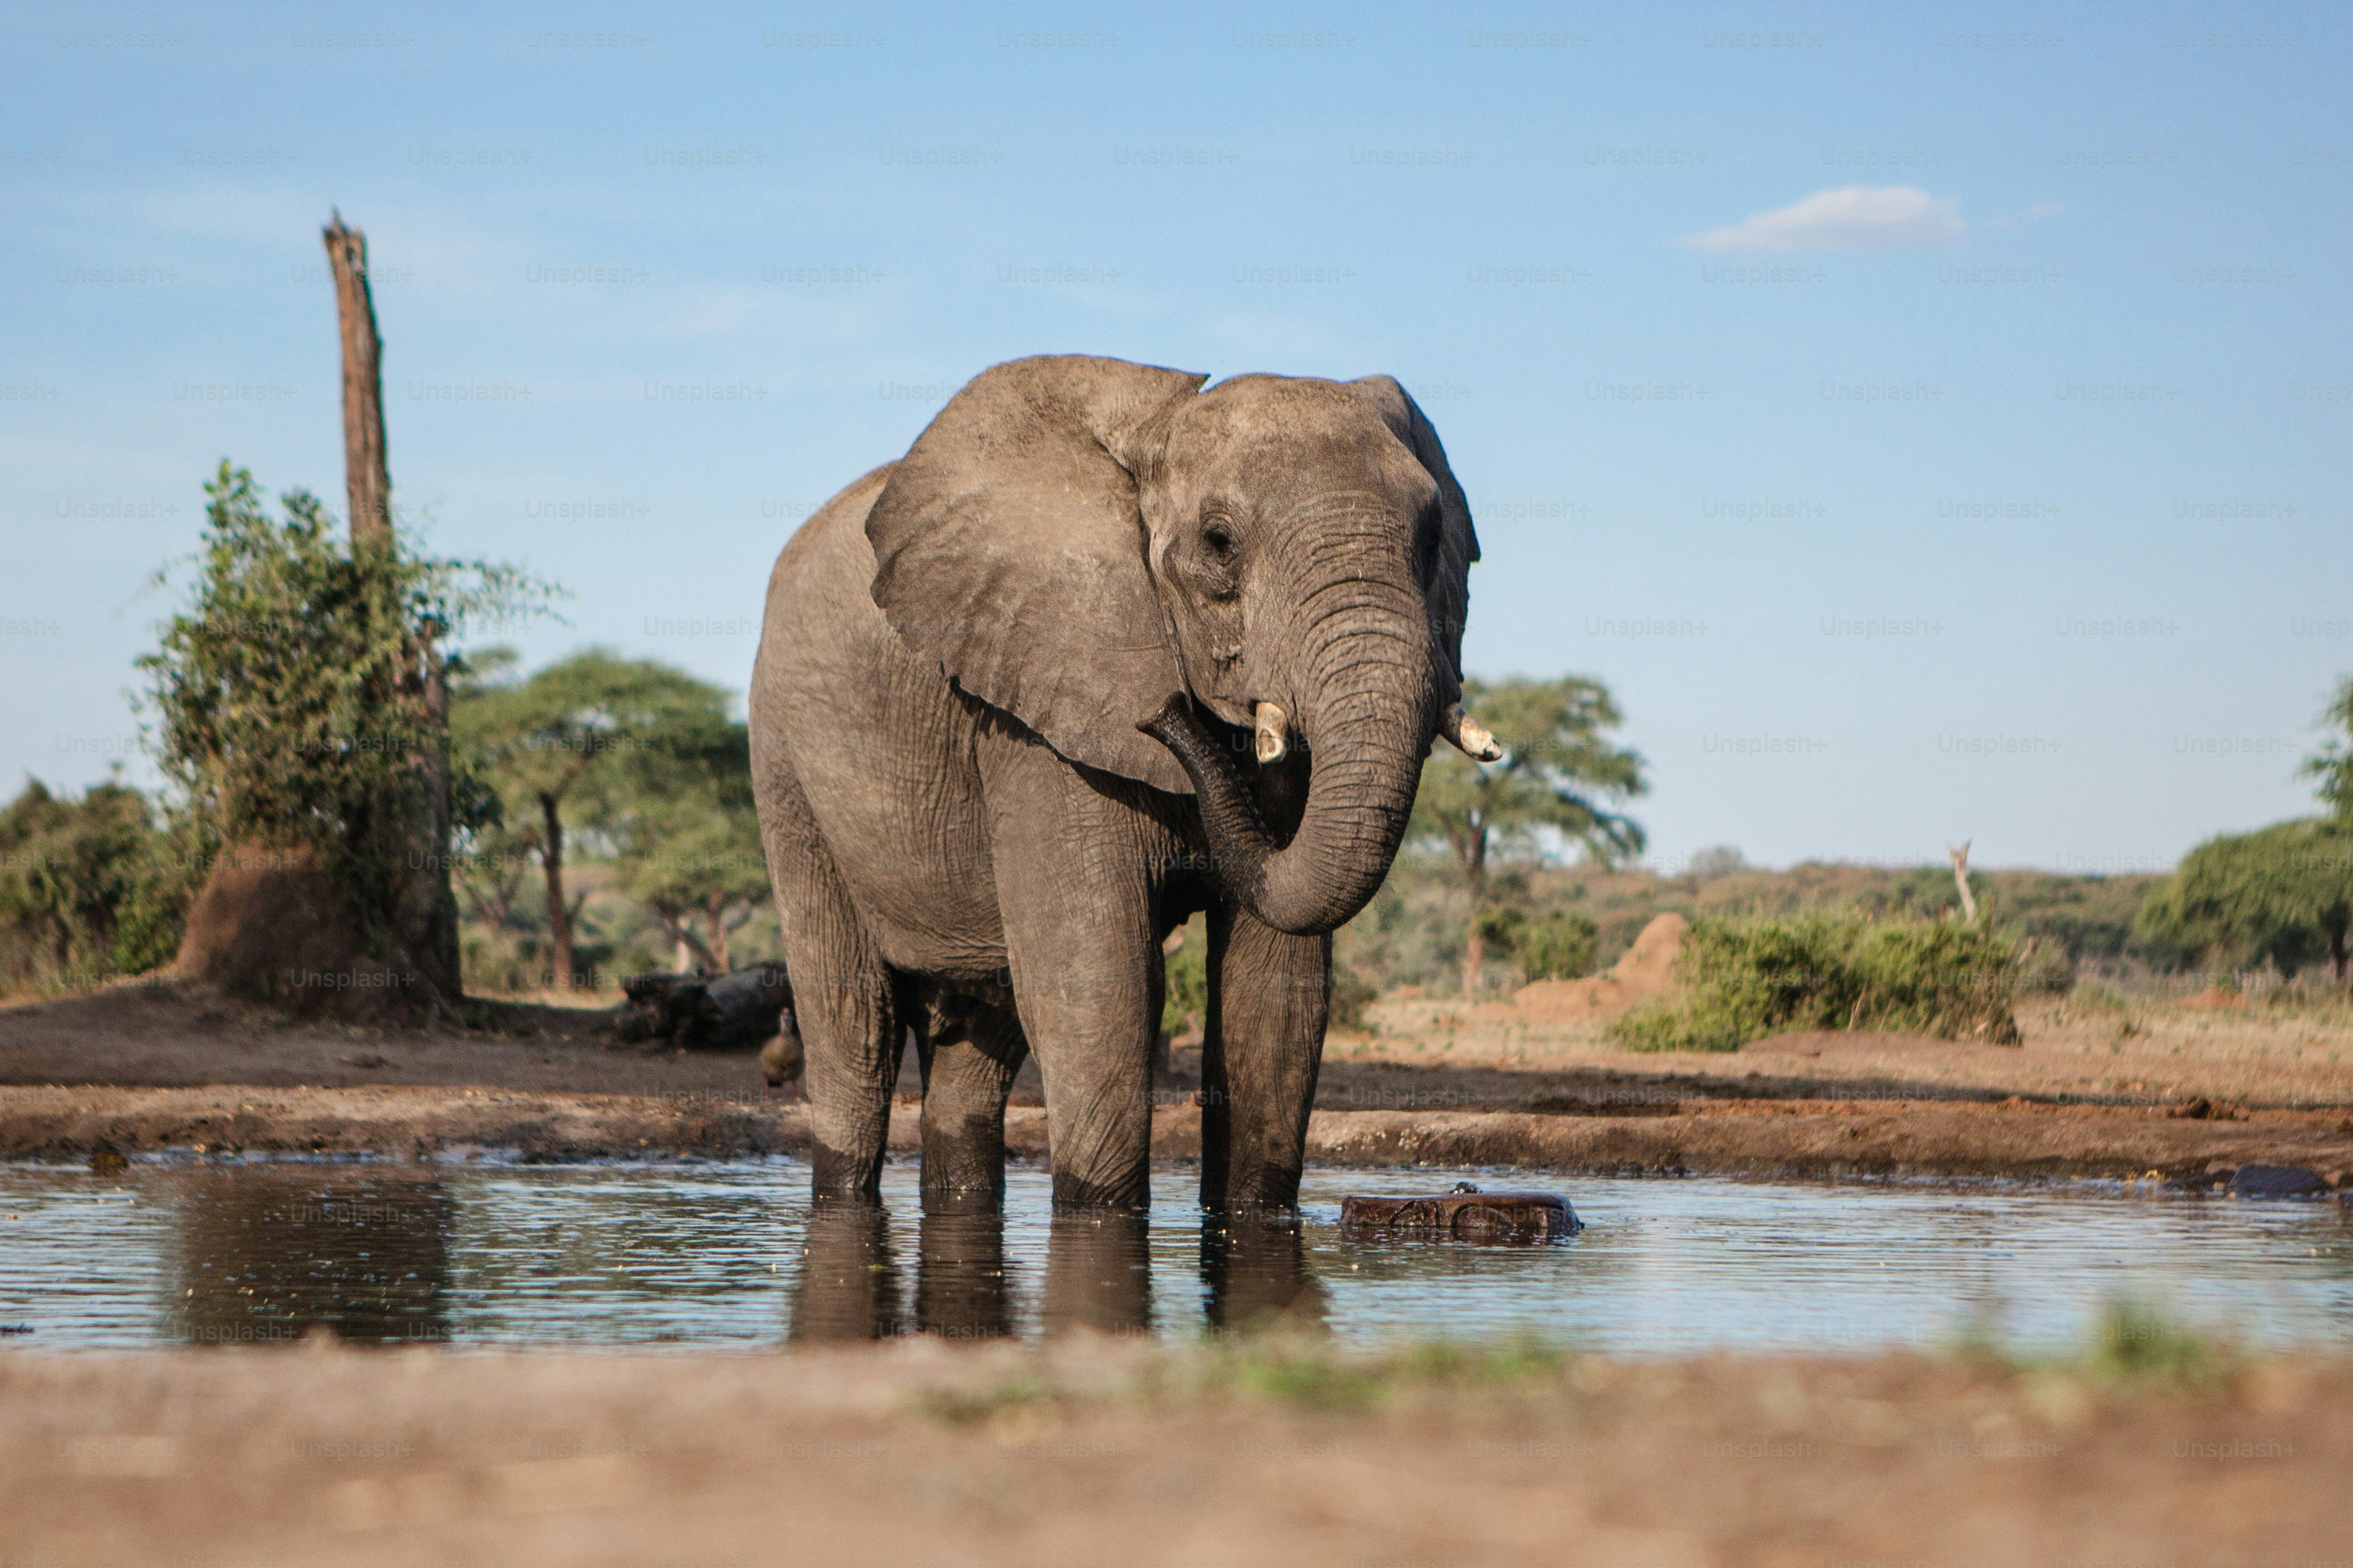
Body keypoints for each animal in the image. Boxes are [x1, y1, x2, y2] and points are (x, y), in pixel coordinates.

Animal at [750, 354, 1490, 1214]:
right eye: (1219, 542)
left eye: (1434, 538)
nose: (1168, 711)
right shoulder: (1039, 710)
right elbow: (1098, 983)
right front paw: (1098, 1215)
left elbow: (1275, 994)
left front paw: (1251, 1216)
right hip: (786, 759)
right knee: (854, 1026)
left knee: (979, 1045)